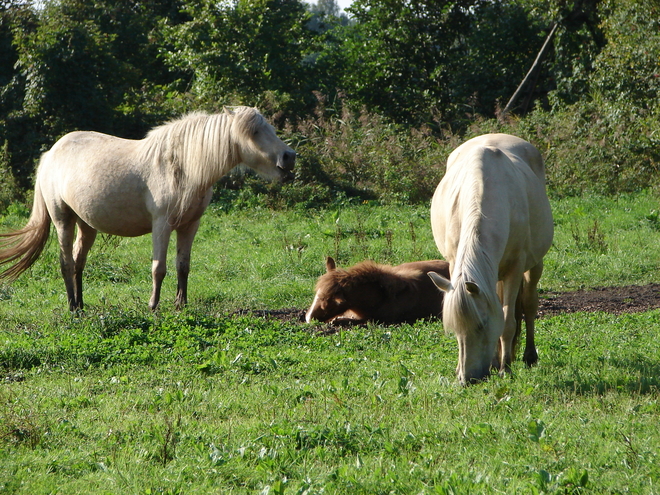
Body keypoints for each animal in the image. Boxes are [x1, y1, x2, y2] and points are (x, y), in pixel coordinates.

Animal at [0, 107, 296, 310]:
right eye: (254, 132)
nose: (289, 157)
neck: (182, 166)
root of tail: (50, 154)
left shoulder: (190, 225)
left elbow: (183, 266)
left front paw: (181, 305)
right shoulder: (162, 224)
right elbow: (159, 268)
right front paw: (154, 305)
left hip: (87, 225)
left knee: (77, 261)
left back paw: (82, 305)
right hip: (63, 219)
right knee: (65, 262)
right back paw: (72, 306)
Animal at [428, 135, 552, 388]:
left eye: (481, 325)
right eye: (455, 329)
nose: (468, 379)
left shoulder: (515, 269)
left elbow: (507, 321)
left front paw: (506, 368)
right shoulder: (457, 265)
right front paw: (494, 363)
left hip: (534, 265)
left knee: (529, 304)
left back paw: (527, 356)